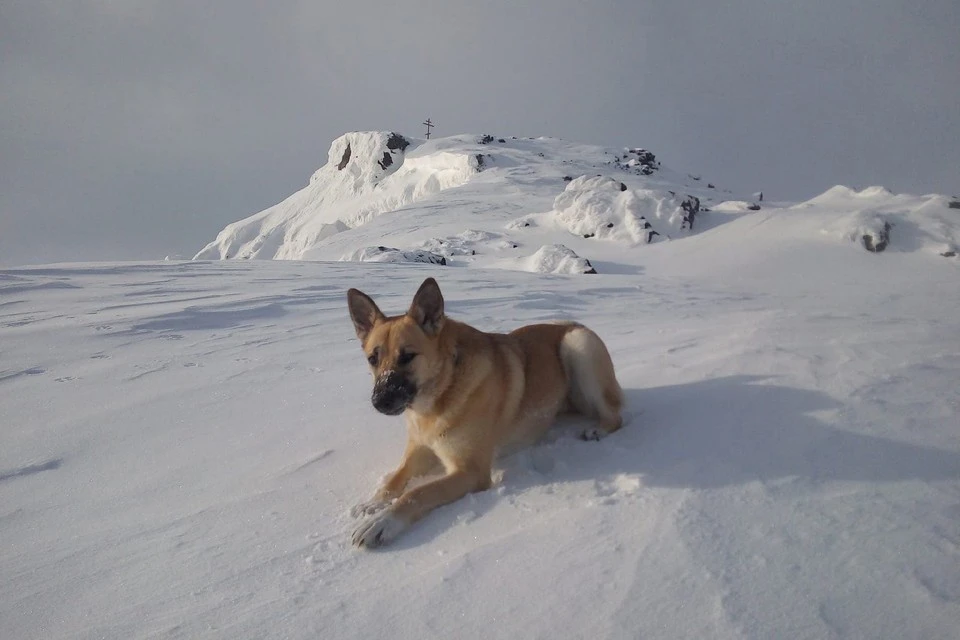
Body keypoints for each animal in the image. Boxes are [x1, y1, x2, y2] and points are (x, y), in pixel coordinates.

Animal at [344, 278, 624, 548]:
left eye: (408, 357)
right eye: (372, 359)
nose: (379, 401)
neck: (443, 389)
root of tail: (575, 324)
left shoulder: (470, 471)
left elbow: (417, 494)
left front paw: (382, 522)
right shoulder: (420, 449)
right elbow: (395, 478)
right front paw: (373, 503)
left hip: (578, 347)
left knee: (615, 414)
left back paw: (598, 428)